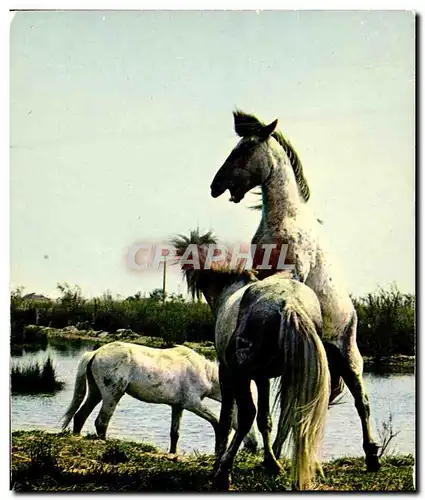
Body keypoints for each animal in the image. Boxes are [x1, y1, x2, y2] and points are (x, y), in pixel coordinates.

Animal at [61, 344, 256, 454]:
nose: (253, 445)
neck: (203, 372)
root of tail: (96, 353)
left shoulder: (178, 406)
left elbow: (174, 433)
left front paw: (172, 454)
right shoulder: (193, 404)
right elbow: (217, 423)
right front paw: (218, 449)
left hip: (96, 393)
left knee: (80, 416)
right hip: (111, 395)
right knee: (101, 422)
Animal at [171, 232, 330, 490]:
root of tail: (289, 304)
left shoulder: (226, 373)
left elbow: (226, 420)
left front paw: (218, 463)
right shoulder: (263, 378)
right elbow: (265, 420)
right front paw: (270, 463)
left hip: (241, 375)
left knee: (246, 415)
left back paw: (223, 473)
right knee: (292, 417)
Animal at [210, 110, 380, 472]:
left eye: (244, 150)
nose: (215, 186)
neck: (283, 217)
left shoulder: (294, 269)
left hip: (349, 356)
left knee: (362, 401)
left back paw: (372, 455)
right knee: (295, 411)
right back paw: (273, 457)